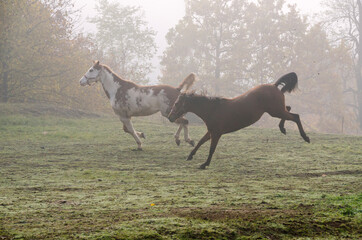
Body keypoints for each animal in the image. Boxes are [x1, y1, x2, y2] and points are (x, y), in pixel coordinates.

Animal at [168, 72, 310, 170]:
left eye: (176, 103)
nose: (170, 117)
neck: (213, 109)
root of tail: (274, 85)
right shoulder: (211, 132)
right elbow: (200, 142)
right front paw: (190, 156)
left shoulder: (216, 134)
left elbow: (211, 149)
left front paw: (204, 164)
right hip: (276, 110)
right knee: (289, 109)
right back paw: (283, 128)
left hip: (275, 111)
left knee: (295, 116)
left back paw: (305, 137)